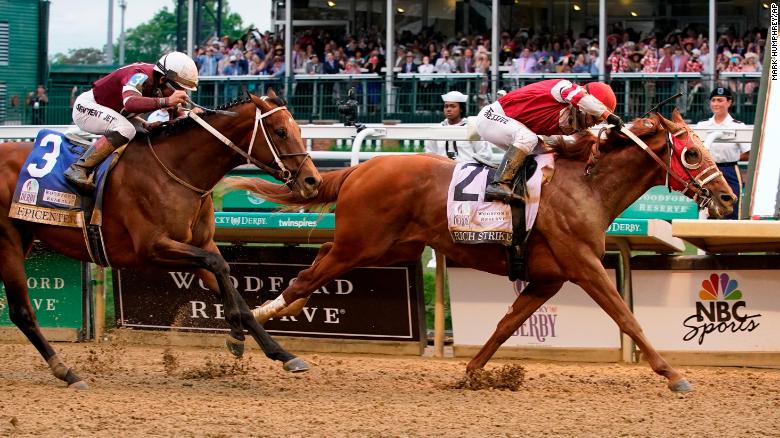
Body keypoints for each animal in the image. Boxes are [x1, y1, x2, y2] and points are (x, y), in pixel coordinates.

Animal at [0, 90, 322, 388]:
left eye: (298, 130)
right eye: (280, 132)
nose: (313, 181)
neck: (177, 170)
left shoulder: (199, 245)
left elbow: (232, 286)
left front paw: (280, 353)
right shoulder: (153, 248)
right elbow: (219, 265)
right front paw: (236, 335)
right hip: (9, 243)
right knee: (22, 311)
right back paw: (67, 372)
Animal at [227, 110, 736, 394]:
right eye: (691, 154)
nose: (728, 198)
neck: (586, 185)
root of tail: (360, 169)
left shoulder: (549, 278)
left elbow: (506, 324)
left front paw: (470, 372)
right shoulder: (585, 266)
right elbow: (627, 318)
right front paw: (673, 374)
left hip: (384, 248)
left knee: (311, 276)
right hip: (360, 244)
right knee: (303, 279)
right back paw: (252, 327)